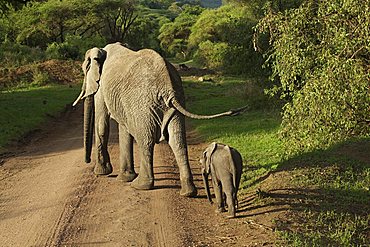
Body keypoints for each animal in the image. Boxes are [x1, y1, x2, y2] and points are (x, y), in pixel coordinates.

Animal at [73, 42, 244, 197]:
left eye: (85, 68)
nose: (87, 160)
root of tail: (167, 87)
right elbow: (124, 129)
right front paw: (123, 178)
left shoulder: (102, 87)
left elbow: (102, 124)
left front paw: (103, 173)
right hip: (174, 101)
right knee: (178, 141)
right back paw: (188, 192)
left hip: (142, 103)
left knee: (146, 140)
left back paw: (140, 186)